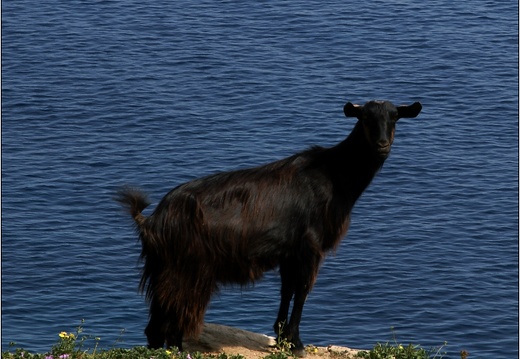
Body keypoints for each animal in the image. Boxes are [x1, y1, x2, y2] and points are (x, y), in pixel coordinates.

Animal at [115, 99, 422, 358]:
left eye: (394, 117)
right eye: (366, 118)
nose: (382, 144)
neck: (335, 176)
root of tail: (151, 220)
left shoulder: (289, 251)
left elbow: (287, 289)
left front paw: (282, 336)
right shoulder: (310, 246)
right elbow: (302, 290)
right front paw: (296, 342)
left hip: (162, 268)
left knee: (157, 322)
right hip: (186, 268)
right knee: (174, 314)